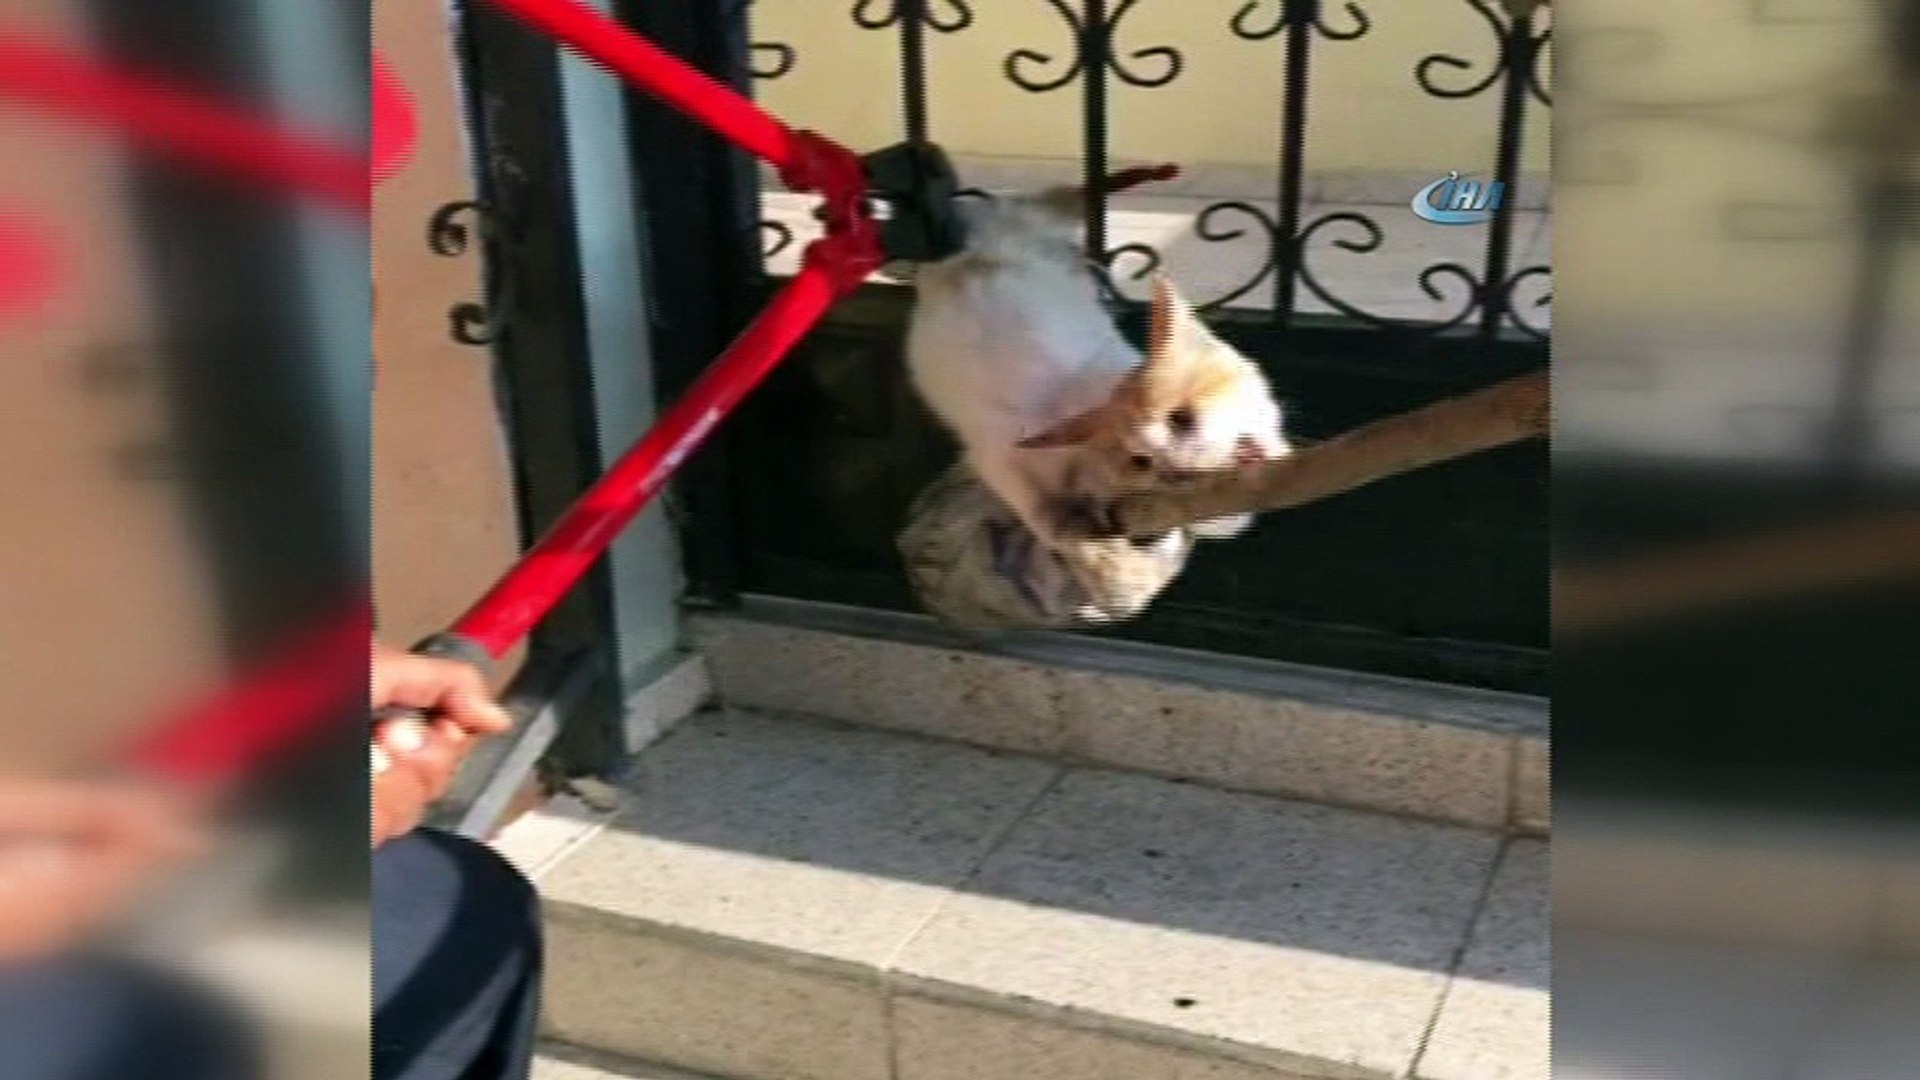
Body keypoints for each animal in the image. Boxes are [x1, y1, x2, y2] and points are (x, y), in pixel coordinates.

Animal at [905, 175, 1289, 551]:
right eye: (1140, 459)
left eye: (1182, 419)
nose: (1175, 474)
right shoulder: (997, 448)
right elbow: (1030, 499)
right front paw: (1062, 529)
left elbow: (1221, 520)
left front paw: (1253, 455)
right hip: (1009, 219)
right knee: (1054, 198)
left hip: (1027, 224)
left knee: (1062, 200)